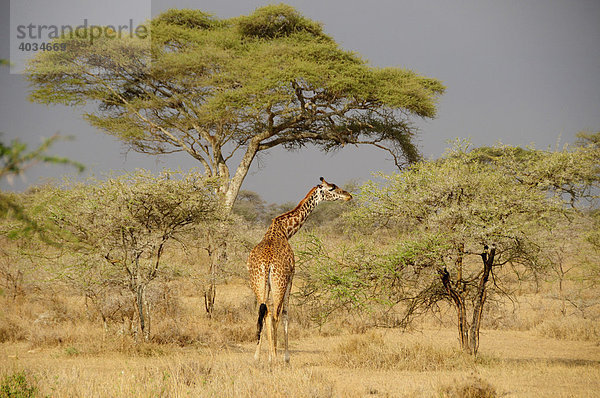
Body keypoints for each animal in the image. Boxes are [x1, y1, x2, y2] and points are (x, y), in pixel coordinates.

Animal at [247, 176, 352, 362]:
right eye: (332, 188)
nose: (348, 195)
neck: (284, 230)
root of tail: (267, 263)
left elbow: (266, 314)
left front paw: (262, 356)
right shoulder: (291, 277)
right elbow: (286, 313)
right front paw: (285, 357)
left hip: (258, 284)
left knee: (264, 312)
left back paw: (260, 357)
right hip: (279, 283)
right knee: (275, 314)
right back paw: (275, 358)